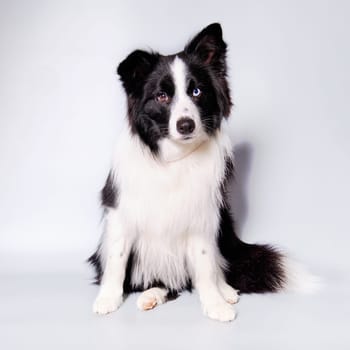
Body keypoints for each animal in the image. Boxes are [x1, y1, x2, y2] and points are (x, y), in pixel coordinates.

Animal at [88, 23, 308, 322]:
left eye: (196, 92)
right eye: (162, 96)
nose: (185, 125)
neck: (173, 159)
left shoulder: (201, 217)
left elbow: (205, 265)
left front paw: (215, 302)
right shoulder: (121, 213)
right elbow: (116, 260)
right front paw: (108, 298)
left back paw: (225, 290)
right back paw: (150, 295)